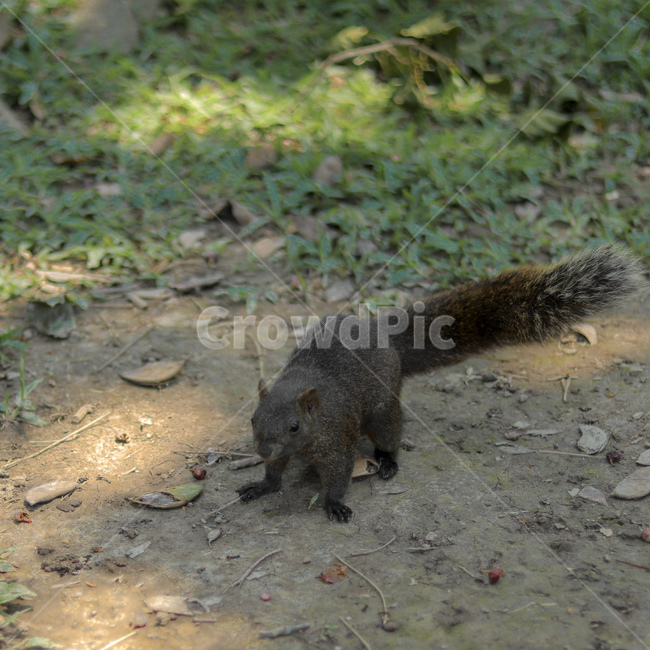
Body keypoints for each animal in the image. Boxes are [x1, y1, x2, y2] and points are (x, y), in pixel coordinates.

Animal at [237, 245, 646, 522]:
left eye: (294, 425)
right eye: (252, 419)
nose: (262, 449)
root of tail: (386, 339)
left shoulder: (336, 441)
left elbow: (337, 476)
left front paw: (335, 505)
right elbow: (275, 474)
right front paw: (262, 485)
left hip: (383, 409)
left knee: (390, 435)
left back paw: (387, 462)